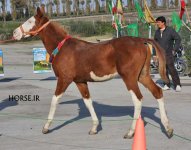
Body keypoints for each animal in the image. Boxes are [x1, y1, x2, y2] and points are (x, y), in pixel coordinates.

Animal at [12, 7, 173, 138]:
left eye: (30, 21)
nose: (14, 33)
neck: (62, 47)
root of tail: (141, 40)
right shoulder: (80, 81)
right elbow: (88, 101)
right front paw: (94, 128)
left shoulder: (64, 79)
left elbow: (54, 100)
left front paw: (46, 127)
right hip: (142, 76)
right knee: (157, 92)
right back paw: (168, 128)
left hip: (129, 77)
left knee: (138, 100)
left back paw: (130, 132)